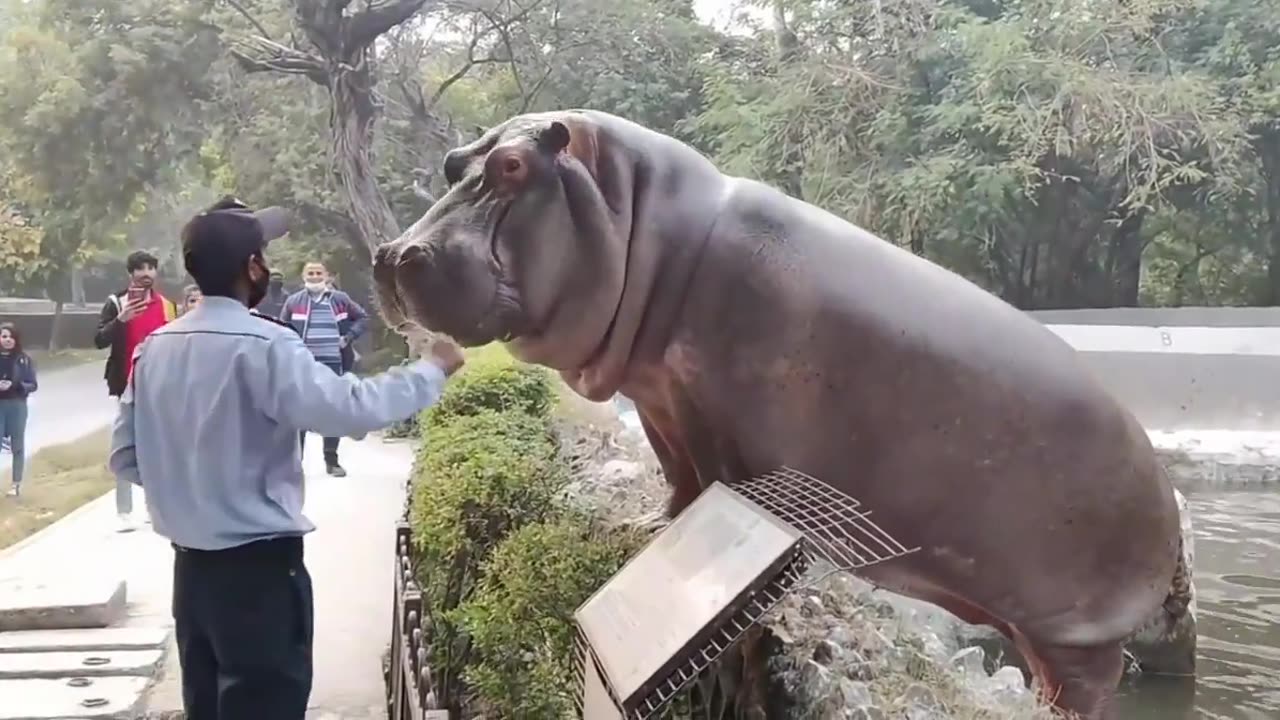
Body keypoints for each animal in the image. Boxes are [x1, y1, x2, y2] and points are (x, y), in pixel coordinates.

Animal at [373, 109, 1187, 712]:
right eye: (453, 161)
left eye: (514, 168)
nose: (389, 254)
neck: (639, 218)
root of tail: (1168, 497)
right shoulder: (662, 397)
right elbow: (676, 479)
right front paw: (646, 529)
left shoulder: (714, 412)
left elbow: (714, 485)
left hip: (1080, 635)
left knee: (1082, 690)